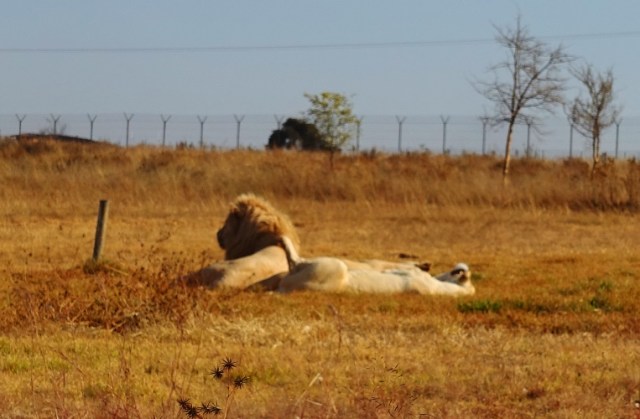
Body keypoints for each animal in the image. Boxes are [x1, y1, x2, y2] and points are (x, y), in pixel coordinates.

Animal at [274, 236, 475, 296]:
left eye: (455, 272)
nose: (460, 267)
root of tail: (283, 288)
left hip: (333, 268)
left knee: (296, 260)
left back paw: (283, 240)